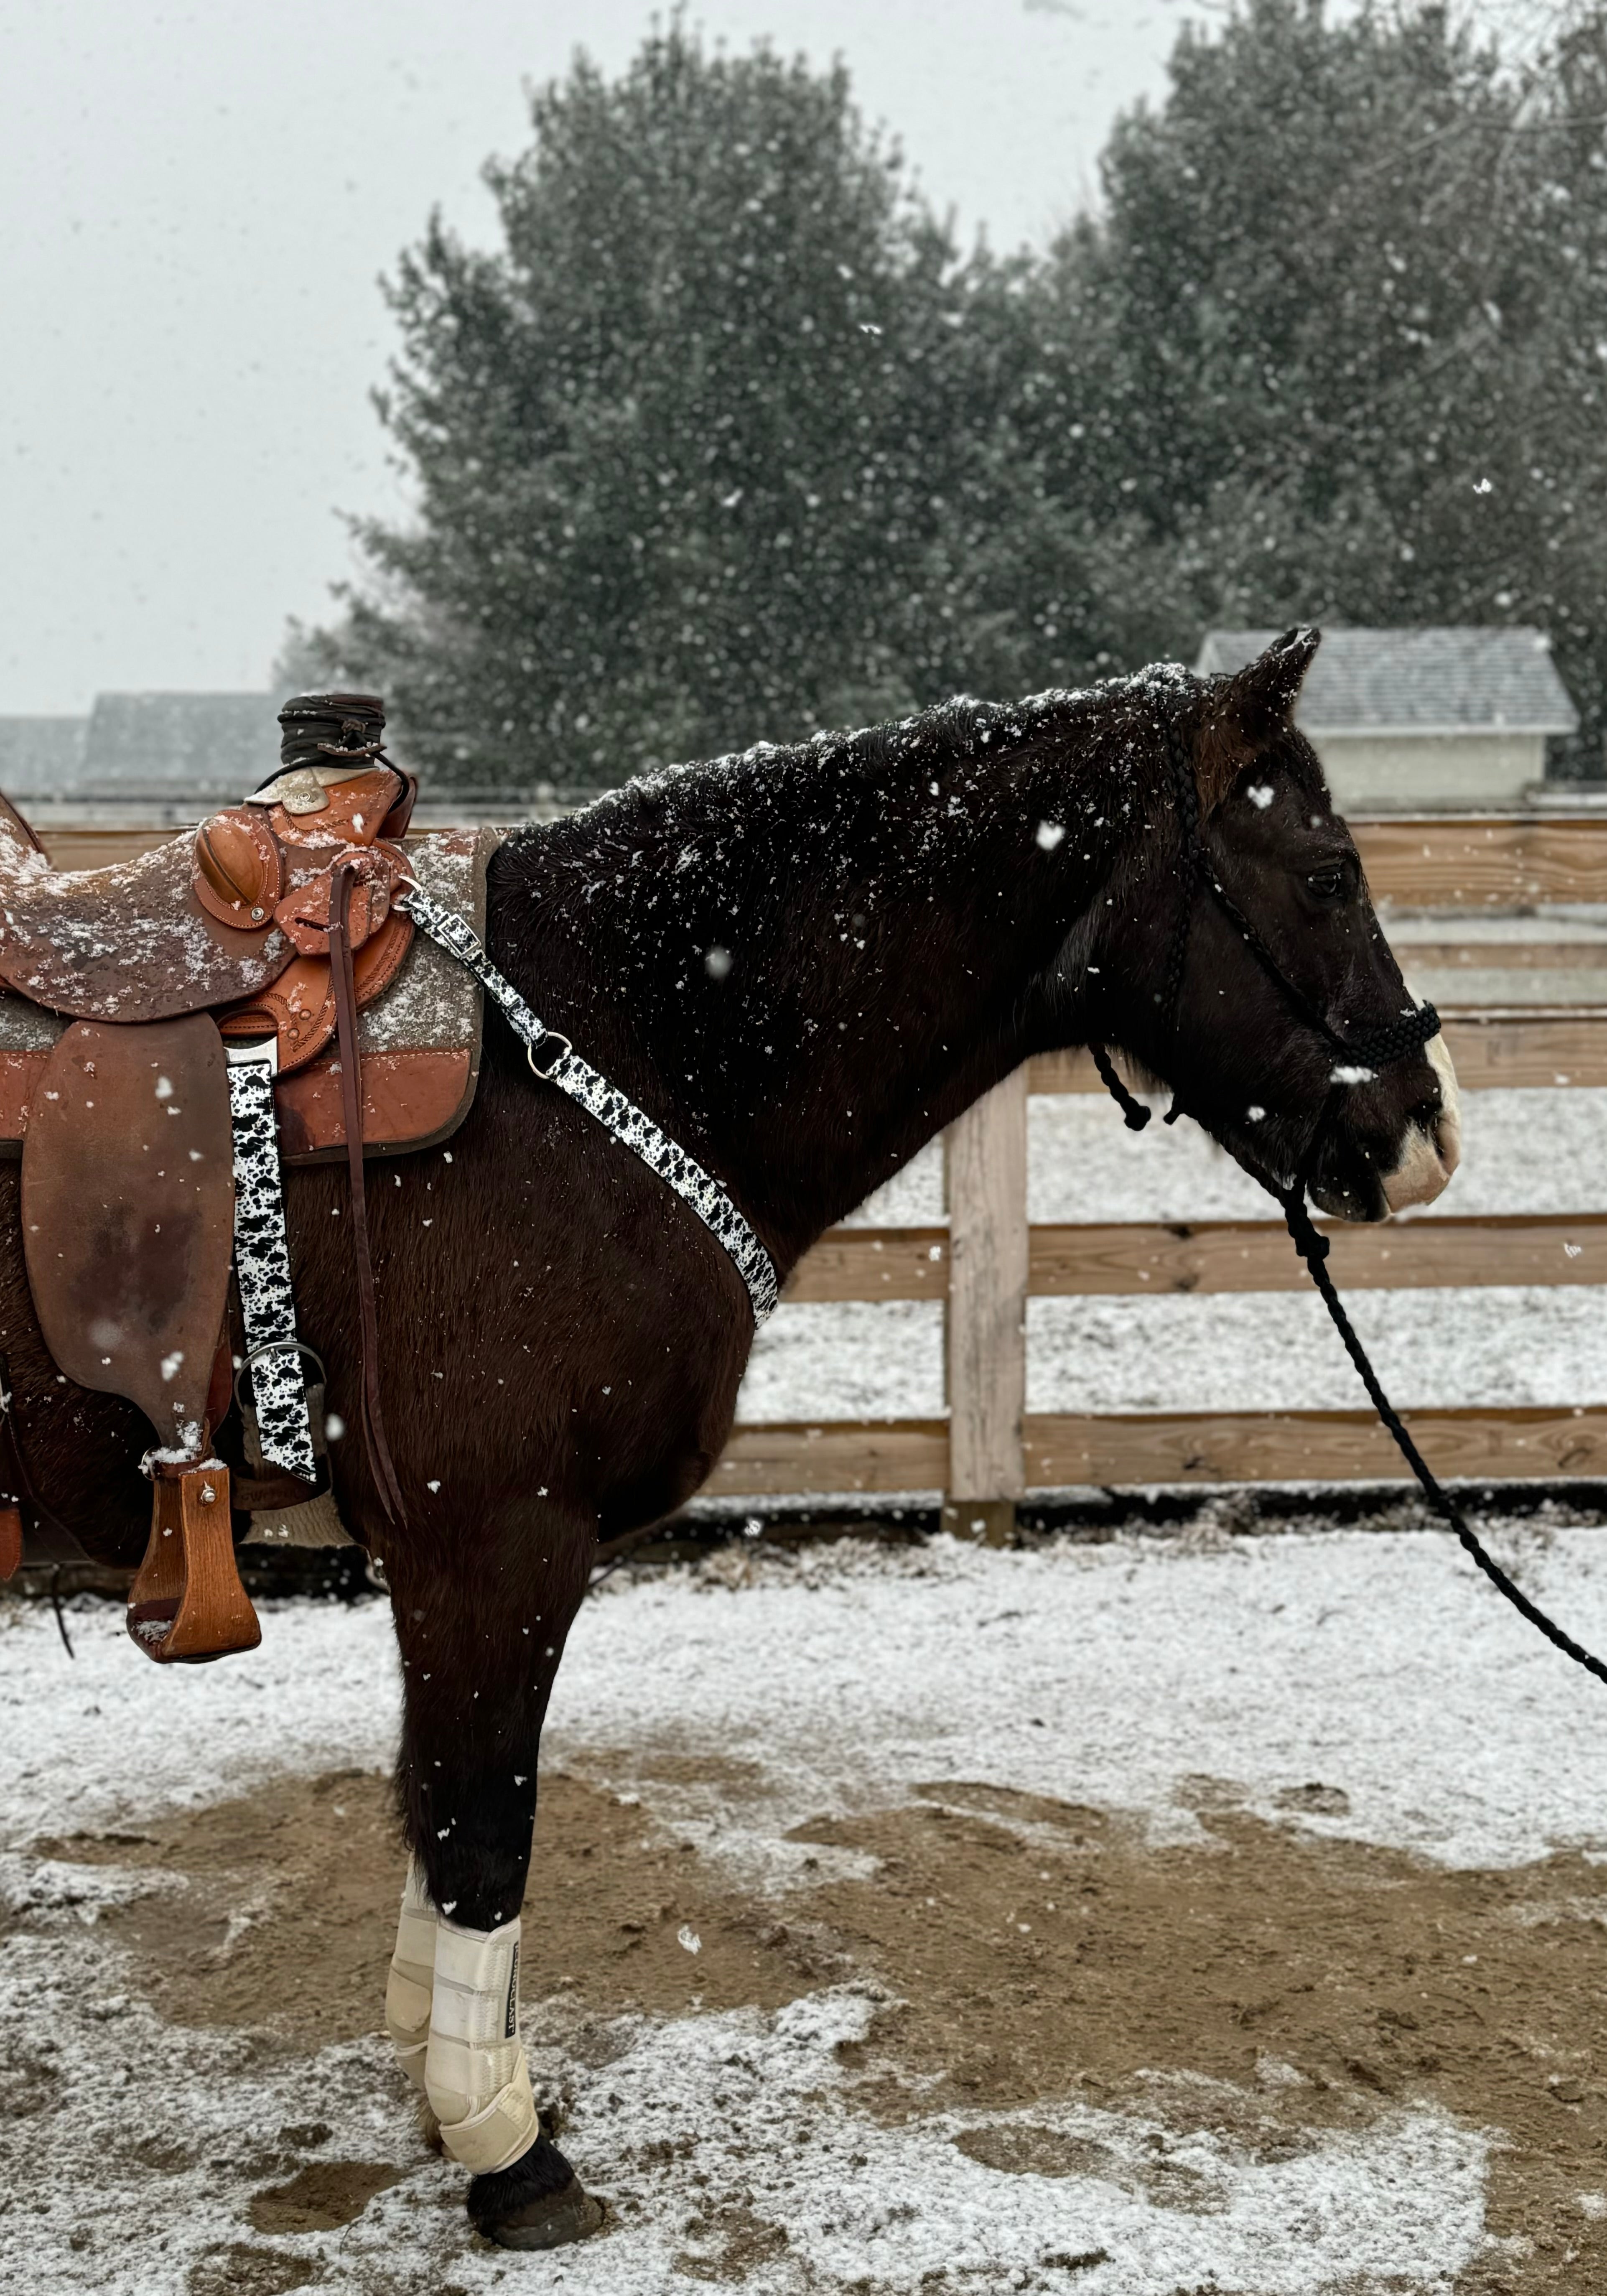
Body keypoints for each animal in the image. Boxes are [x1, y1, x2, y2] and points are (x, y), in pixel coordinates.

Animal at [6, 629, 1460, 2241]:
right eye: (1326, 873)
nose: (1424, 1128)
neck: (591, 1044)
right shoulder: (494, 1541)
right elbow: (480, 1821)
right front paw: (506, 2146)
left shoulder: (449, 1559)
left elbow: (435, 1808)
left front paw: (449, 2089)